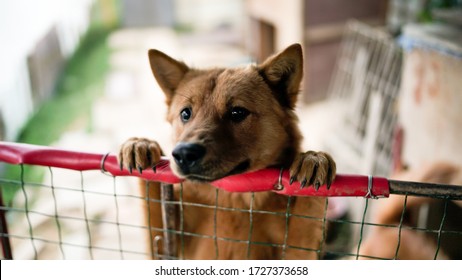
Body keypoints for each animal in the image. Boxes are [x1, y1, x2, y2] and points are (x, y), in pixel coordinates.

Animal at [119, 43, 336, 260]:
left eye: (237, 112)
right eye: (185, 113)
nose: (184, 154)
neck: (231, 200)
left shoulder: (297, 252)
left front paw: (313, 159)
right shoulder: (163, 248)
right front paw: (140, 144)